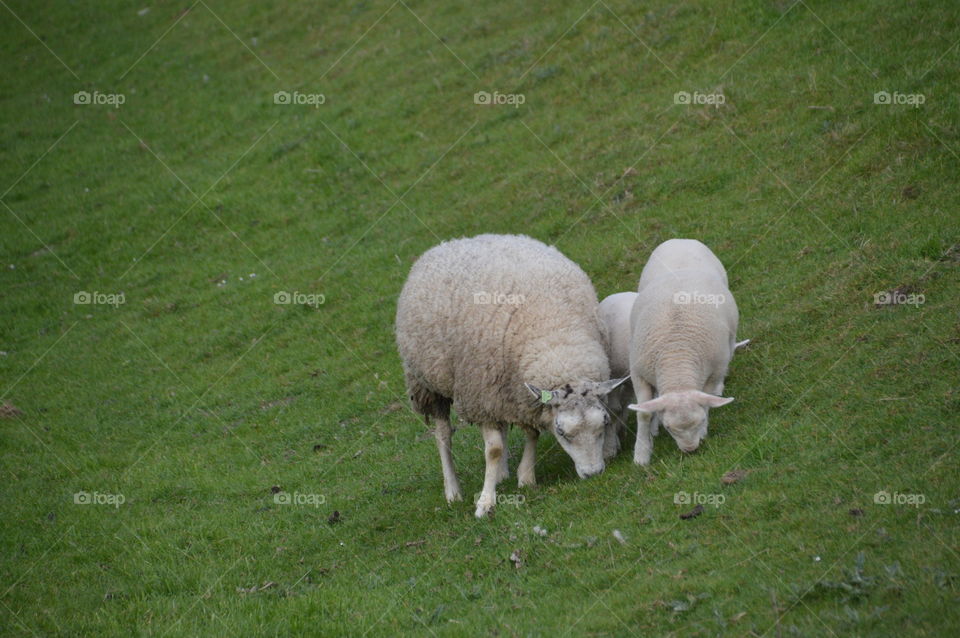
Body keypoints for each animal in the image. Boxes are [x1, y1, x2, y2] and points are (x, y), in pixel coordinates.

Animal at [396, 234, 628, 517]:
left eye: (603, 423)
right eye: (561, 432)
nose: (593, 474)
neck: (555, 338)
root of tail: (451, 242)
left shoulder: (519, 396)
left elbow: (531, 434)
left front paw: (525, 477)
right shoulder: (481, 395)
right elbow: (493, 449)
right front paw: (485, 503)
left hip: (499, 391)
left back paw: (501, 473)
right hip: (429, 384)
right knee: (443, 436)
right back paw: (453, 491)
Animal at [626, 239, 744, 465]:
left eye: (700, 420)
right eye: (669, 427)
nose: (690, 450)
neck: (676, 356)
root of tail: (681, 240)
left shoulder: (712, 370)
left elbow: (706, 399)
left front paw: (704, 430)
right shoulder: (638, 373)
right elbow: (643, 414)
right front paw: (641, 453)